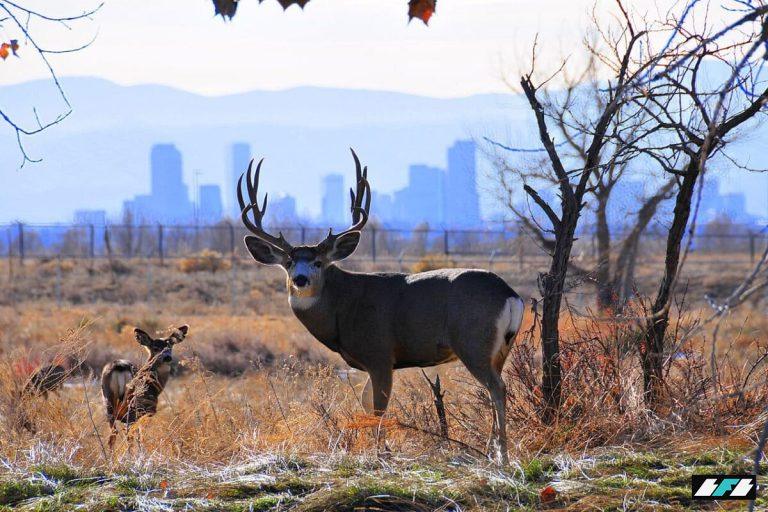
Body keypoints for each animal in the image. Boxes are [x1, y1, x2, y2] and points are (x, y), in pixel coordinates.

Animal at [237, 150, 524, 464]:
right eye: (289, 262)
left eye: (318, 262)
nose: (300, 279)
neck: (343, 308)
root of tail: (510, 294)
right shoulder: (370, 362)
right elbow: (366, 402)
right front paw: (380, 448)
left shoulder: (380, 353)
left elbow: (378, 406)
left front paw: (379, 452)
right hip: (501, 348)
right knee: (495, 388)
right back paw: (491, 449)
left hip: (473, 341)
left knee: (497, 387)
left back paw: (502, 455)